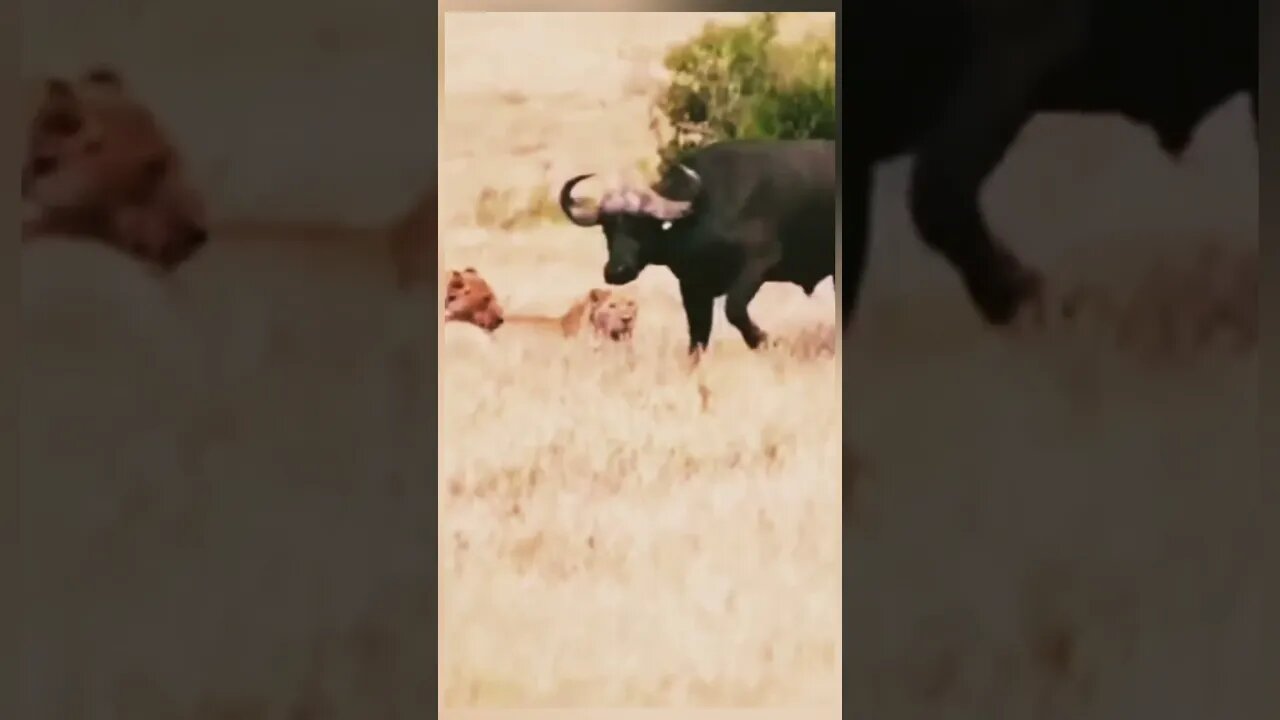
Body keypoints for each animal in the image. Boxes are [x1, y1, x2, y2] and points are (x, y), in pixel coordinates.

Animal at [555, 136, 834, 351]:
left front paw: (762, 339)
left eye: (643, 227)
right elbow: (698, 334)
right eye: (607, 228)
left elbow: (733, 309)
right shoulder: (692, 285)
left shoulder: (758, 263)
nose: (616, 271)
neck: (702, 210)